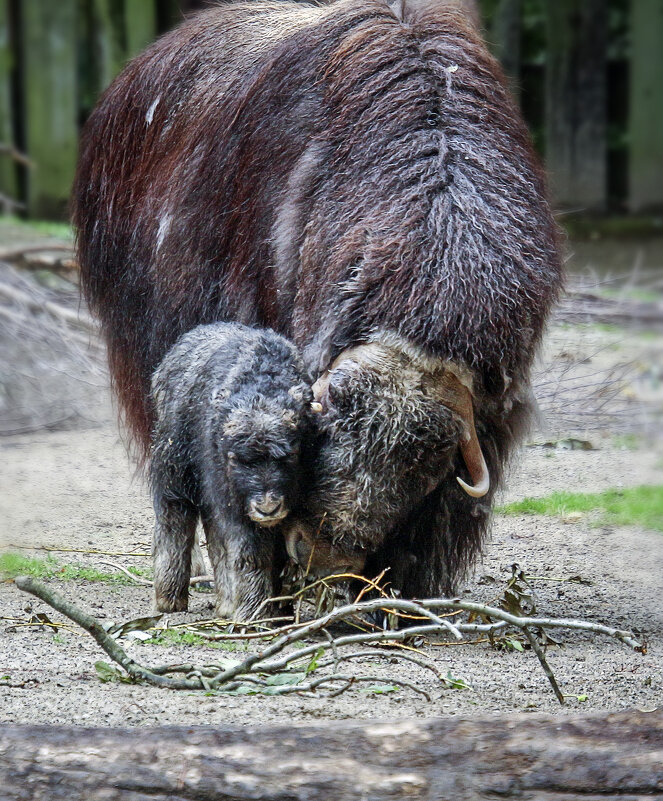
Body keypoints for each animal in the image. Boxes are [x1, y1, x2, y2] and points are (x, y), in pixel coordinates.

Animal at [151, 320, 316, 620]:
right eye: (235, 458)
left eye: (292, 453)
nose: (267, 507)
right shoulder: (236, 509)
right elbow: (251, 554)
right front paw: (253, 613)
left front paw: (278, 608)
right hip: (175, 474)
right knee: (175, 520)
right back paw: (170, 599)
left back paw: (227, 603)